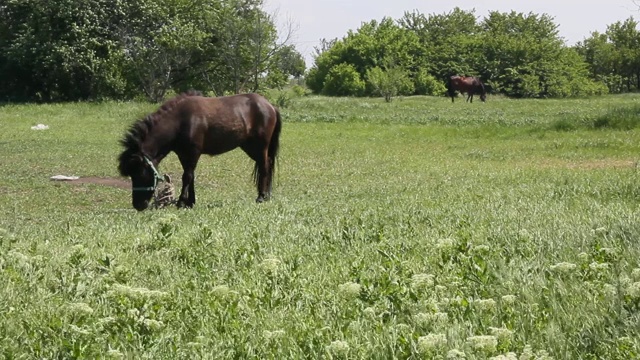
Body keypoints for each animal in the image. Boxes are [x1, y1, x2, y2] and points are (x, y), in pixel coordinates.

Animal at [118, 90, 282, 212]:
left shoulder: (193, 153)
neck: (180, 121)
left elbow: (187, 177)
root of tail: (270, 106)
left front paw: (181, 202)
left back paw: (261, 196)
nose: (138, 205)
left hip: (260, 147)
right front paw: (190, 202)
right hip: (249, 147)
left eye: (140, 173)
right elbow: (191, 176)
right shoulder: (184, 155)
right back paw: (267, 195)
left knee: (264, 167)